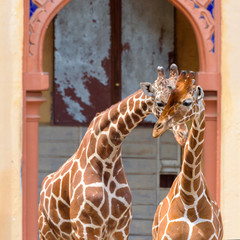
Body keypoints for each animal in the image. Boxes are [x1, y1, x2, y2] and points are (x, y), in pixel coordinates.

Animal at [37, 63, 188, 240]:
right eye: (159, 103)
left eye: (186, 101)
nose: (183, 135)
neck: (106, 158)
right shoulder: (86, 227)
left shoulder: (121, 228)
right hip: (46, 231)